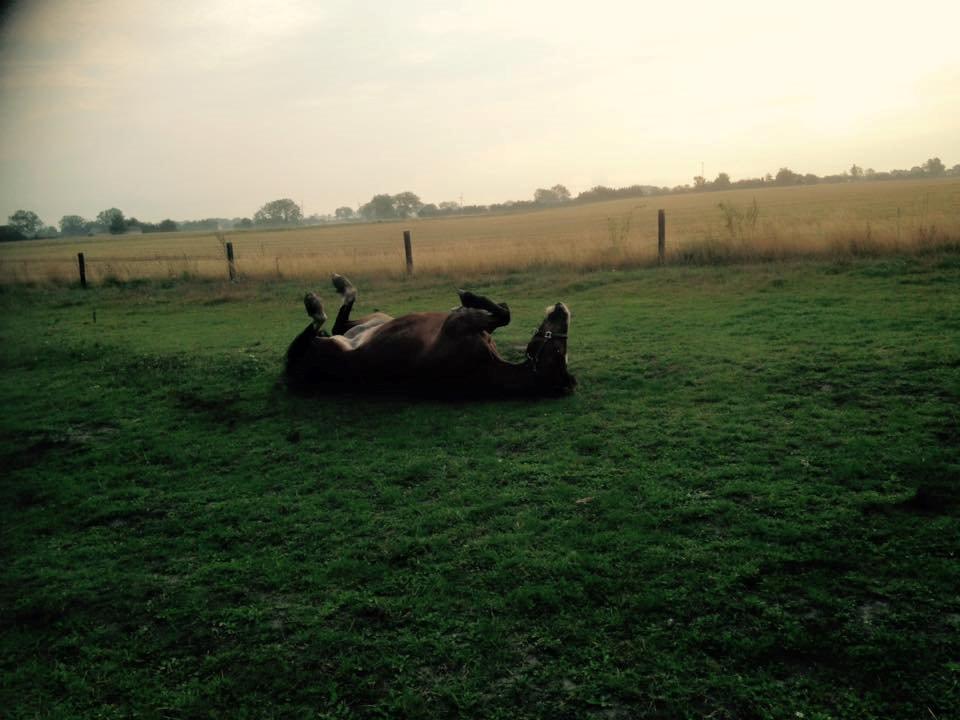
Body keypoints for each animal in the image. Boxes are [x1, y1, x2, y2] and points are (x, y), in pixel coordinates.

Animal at [282, 276, 572, 400]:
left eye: (559, 352)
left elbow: (504, 315)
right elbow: (504, 312)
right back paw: (341, 283)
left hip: (324, 345)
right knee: (339, 321)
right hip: (375, 320)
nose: (562, 309)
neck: (486, 365)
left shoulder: (458, 325)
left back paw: (316, 302)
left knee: (318, 324)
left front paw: (469, 298)